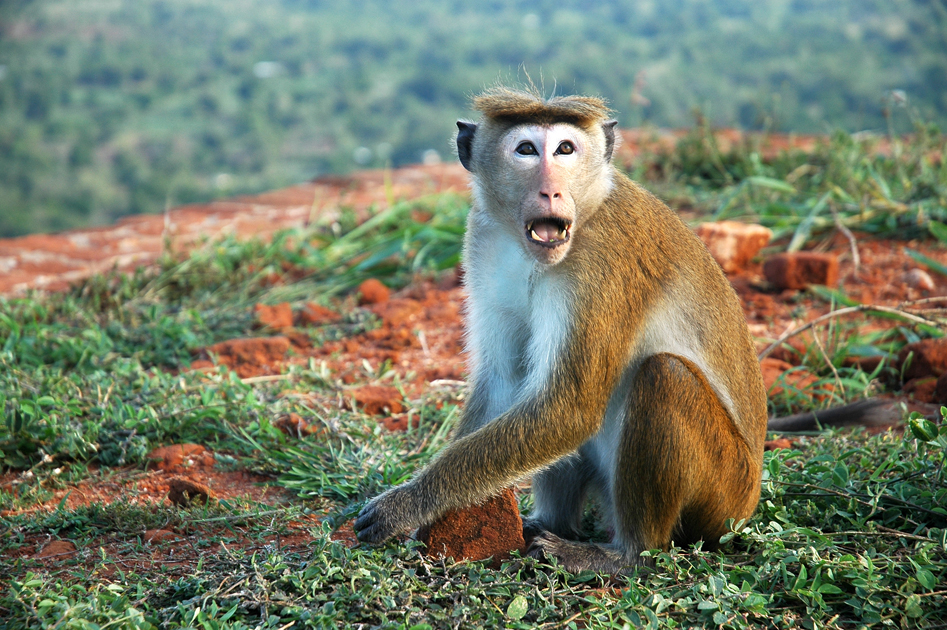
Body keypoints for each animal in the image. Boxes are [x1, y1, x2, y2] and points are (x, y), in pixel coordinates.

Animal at [350, 86, 880, 576]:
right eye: (527, 150)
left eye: (565, 149)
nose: (550, 191)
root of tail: (748, 497)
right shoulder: (483, 240)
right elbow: (506, 382)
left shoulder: (603, 261)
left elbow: (570, 407)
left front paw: (409, 503)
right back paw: (551, 524)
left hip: (723, 492)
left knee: (663, 377)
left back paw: (626, 555)